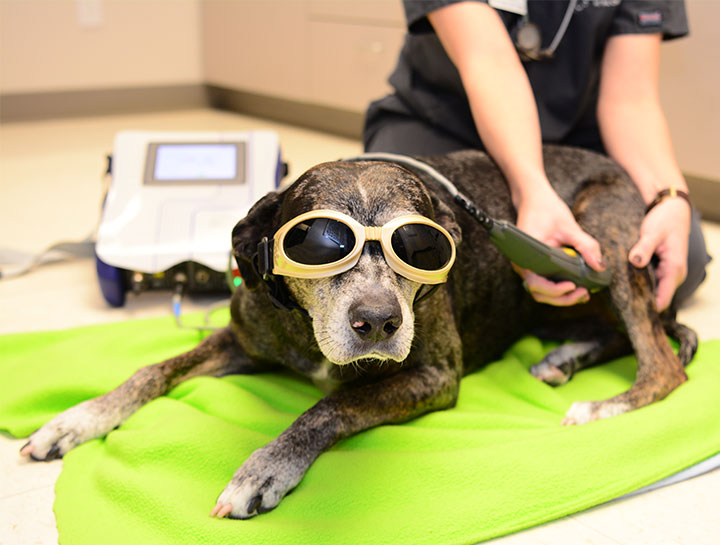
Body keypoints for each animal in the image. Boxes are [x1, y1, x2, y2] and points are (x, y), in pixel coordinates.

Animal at [21, 144, 696, 520]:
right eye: (318, 242)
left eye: (422, 246)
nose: (379, 321)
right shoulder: (243, 340)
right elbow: (151, 370)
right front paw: (76, 420)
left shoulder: (433, 376)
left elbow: (332, 405)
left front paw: (265, 469)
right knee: (642, 335)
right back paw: (566, 357)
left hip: (603, 244)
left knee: (663, 361)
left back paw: (603, 406)